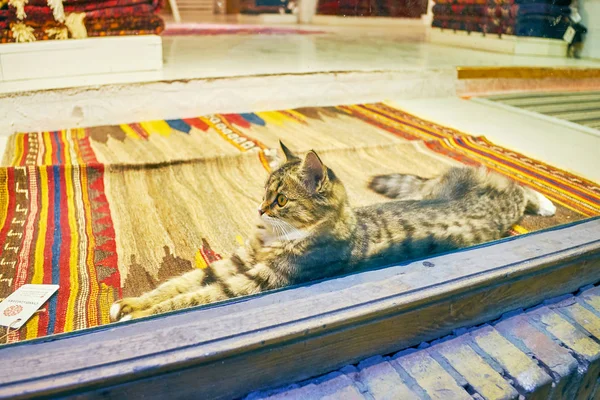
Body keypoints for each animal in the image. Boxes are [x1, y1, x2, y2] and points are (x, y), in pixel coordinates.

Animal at [110, 142, 556, 320]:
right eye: (265, 192)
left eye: (281, 200)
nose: (259, 209)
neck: (279, 236)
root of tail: (470, 180)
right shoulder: (240, 260)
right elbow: (177, 284)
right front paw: (130, 304)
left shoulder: (257, 278)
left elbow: (193, 297)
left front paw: (138, 315)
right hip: (435, 185)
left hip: (505, 200)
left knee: (522, 185)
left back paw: (548, 203)